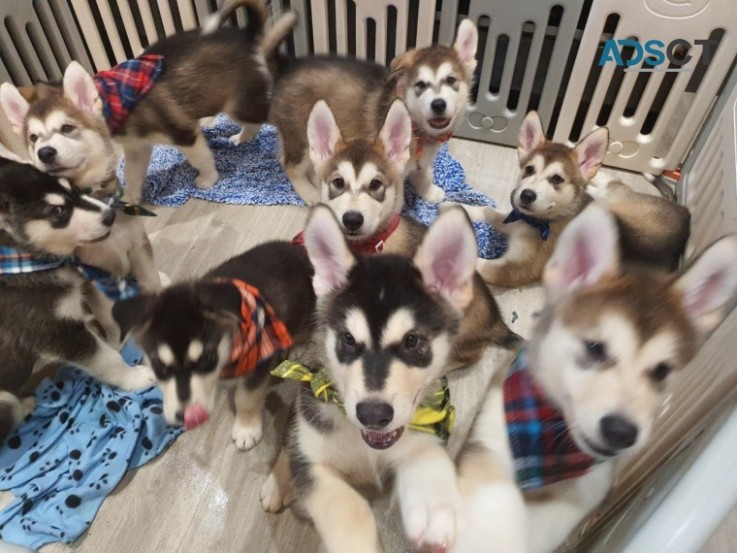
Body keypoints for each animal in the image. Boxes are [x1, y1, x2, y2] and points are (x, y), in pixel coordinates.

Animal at [112, 239, 314, 450]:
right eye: (159, 365)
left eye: (206, 359)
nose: (185, 416)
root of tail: (295, 248)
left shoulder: (260, 362)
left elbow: (246, 398)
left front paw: (246, 428)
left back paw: (297, 346)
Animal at [270, 19, 478, 206]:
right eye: (420, 85)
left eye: (451, 80)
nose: (438, 104)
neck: (419, 130)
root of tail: (287, 67)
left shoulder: (422, 161)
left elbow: (425, 174)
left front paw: (429, 193)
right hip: (301, 137)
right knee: (291, 165)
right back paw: (310, 193)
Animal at [448, 204, 736, 552]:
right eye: (595, 348)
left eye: (662, 371)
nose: (620, 432)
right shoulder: (489, 442)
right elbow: (492, 503)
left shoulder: (584, 493)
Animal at [454, 110, 688, 286]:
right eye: (529, 169)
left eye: (557, 179)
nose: (526, 195)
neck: (539, 222)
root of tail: (685, 213)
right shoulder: (514, 218)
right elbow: (488, 211)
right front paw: (454, 205)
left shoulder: (519, 268)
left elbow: (478, 264)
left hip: (615, 201)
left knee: (613, 182)